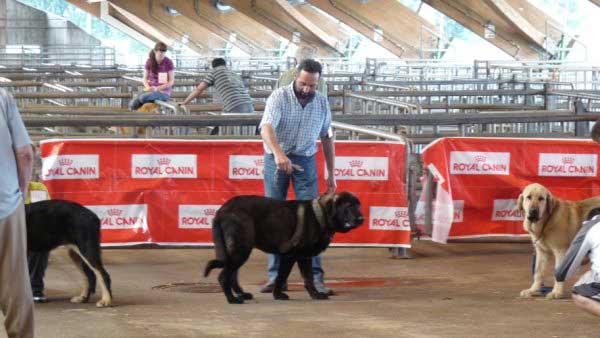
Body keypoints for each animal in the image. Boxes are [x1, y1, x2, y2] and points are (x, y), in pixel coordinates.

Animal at [204, 191, 364, 304]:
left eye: (358, 205)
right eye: (349, 206)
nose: (362, 219)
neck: (320, 215)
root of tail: (221, 211)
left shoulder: (301, 257)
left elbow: (303, 278)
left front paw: (311, 294)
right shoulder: (291, 256)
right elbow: (287, 277)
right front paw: (282, 295)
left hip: (238, 250)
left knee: (232, 275)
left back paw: (242, 294)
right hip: (240, 249)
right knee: (224, 276)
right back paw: (232, 299)